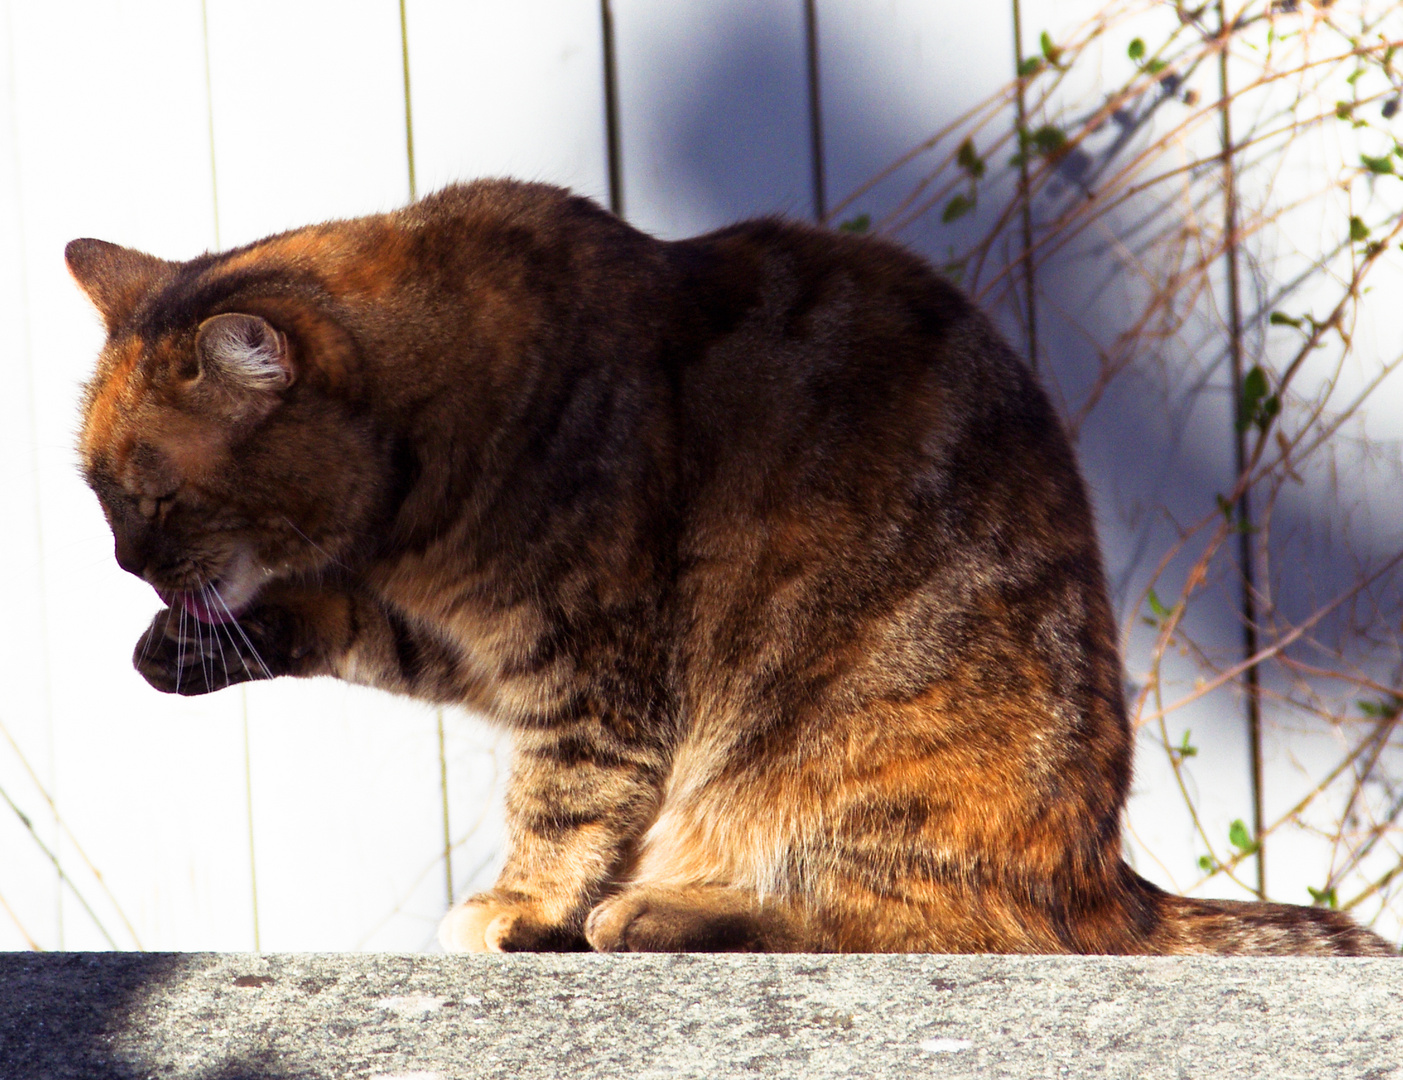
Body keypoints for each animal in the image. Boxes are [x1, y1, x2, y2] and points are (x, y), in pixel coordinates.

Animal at [74, 176, 1391, 953]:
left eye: (146, 497)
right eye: (96, 495)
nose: (130, 567)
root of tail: (1102, 880)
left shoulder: (589, 659)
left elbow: (563, 797)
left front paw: (522, 905)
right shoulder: (465, 636)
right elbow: (359, 627)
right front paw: (190, 645)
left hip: (840, 758)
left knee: (918, 921)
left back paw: (661, 910)